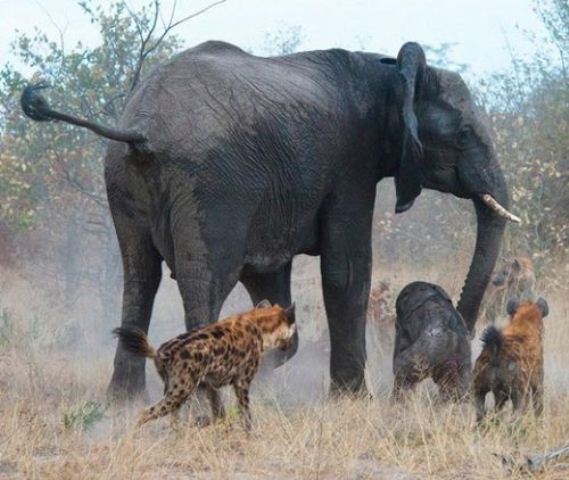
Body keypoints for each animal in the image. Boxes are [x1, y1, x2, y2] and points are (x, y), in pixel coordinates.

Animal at [21, 40, 520, 398]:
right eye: (463, 134)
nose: (465, 327)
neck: (386, 70)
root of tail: (140, 127)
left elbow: (270, 279)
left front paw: (260, 369)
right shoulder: (350, 167)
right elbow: (347, 271)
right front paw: (352, 401)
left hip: (122, 178)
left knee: (139, 276)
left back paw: (121, 403)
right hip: (209, 187)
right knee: (205, 281)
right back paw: (198, 404)